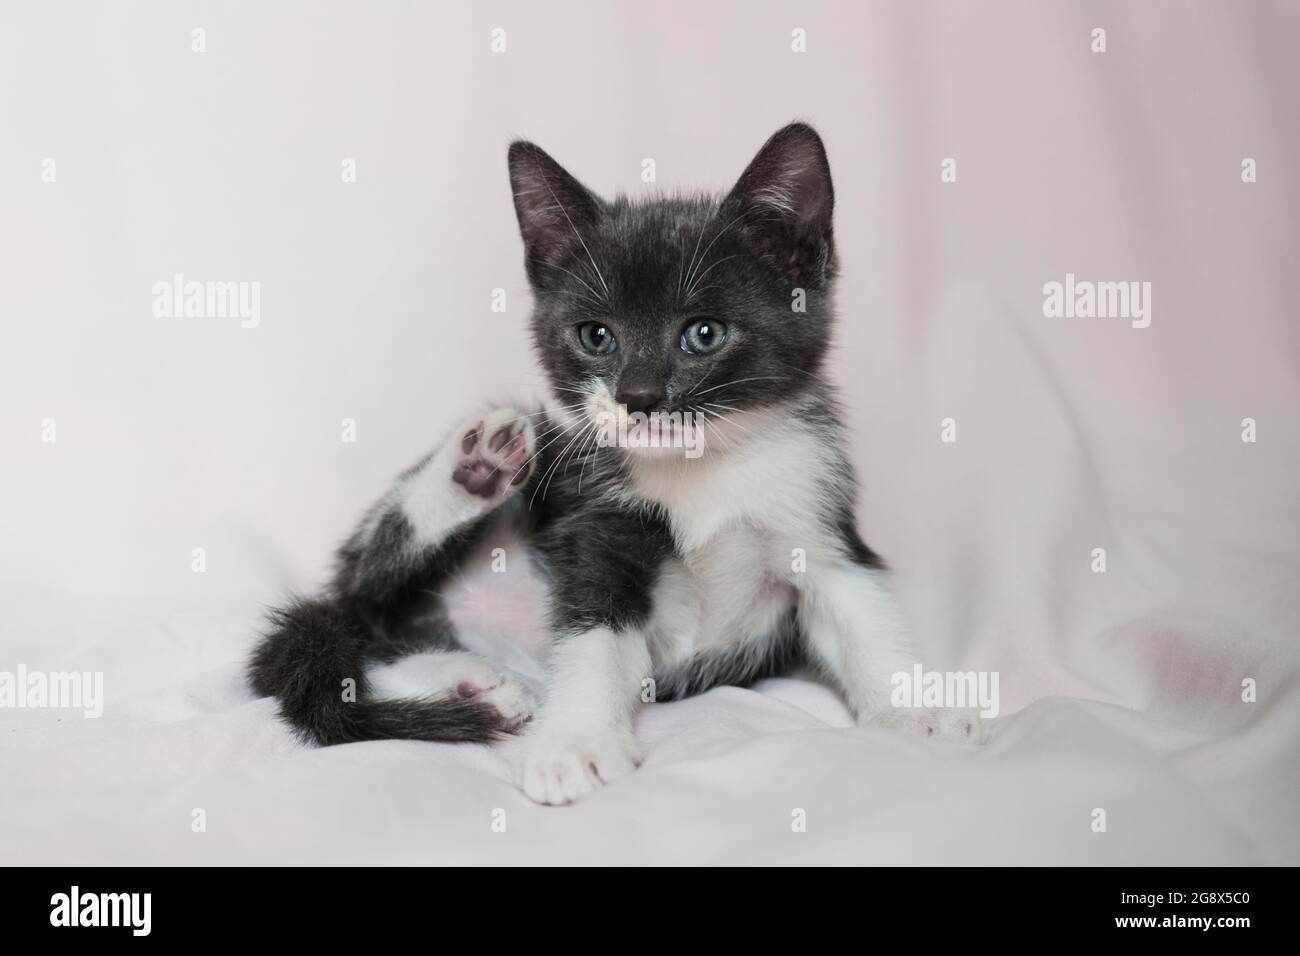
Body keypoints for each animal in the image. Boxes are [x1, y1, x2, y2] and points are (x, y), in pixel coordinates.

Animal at [250, 123, 982, 806]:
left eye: (704, 333)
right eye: (596, 336)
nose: (638, 396)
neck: (704, 469)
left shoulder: (816, 516)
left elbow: (861, 614)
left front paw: (920, 707)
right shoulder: (598, 524)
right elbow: (592, 633)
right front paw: (576, 744)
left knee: (375, 639)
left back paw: (471, 681)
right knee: (372, 588)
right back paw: (476, 469)